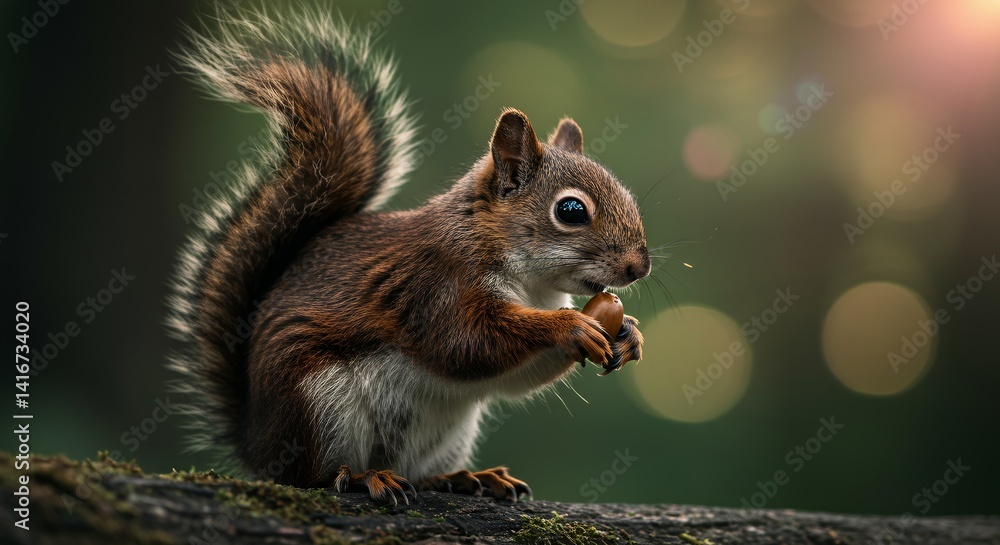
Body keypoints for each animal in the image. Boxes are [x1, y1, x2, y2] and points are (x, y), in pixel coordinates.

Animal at [166, 6, 650, 505]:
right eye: (571, 210)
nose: (640, 266)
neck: (534, 287)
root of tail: (256, 442)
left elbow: (511, 377)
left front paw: (628, 333)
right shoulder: (435, 285)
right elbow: (467, 341)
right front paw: (568, 326)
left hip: (446, 430)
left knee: (417, 472)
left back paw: (464, 477)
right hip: (318, 405)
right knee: (311, 475)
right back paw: (362, 476)